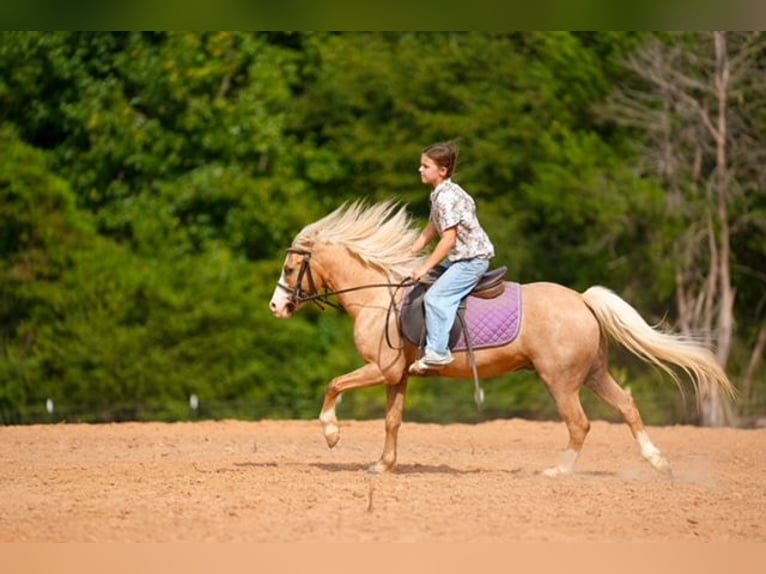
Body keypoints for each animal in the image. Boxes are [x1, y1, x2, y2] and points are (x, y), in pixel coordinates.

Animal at [268, 201, 735, 476]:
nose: (276, 307)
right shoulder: (397, 376)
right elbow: (392, 420)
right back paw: (659, 463)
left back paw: (559, 472)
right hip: (594, 373)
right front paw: (382, 466)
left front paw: (332, 435)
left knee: (580, 423)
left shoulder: (380, 368)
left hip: (561, 380)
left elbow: (334, 385)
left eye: (291, 269)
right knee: (627, 406)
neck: (377, 296)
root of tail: (582, 301)